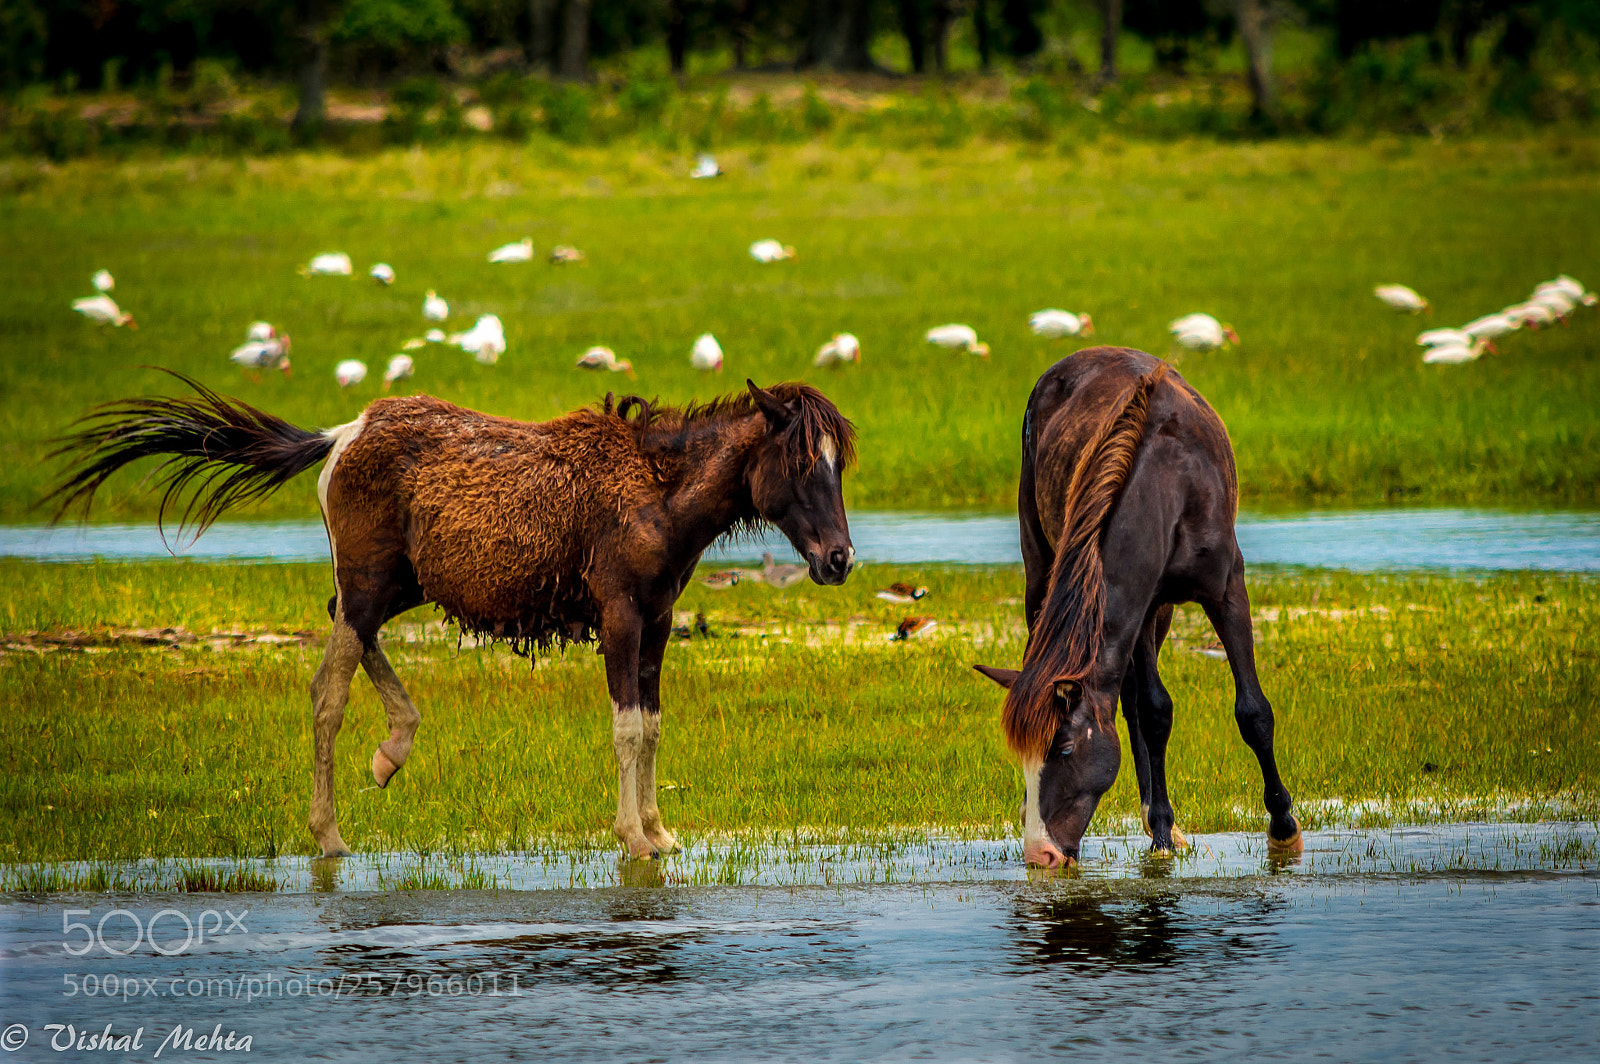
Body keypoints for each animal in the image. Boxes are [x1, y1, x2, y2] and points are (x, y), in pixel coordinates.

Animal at [49, 373, 857, 859]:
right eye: (800, 463)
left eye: (838, 463)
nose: (839, 558)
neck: (658, 494)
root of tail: (339, 437)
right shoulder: (621, 617)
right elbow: (628, 730)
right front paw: (633, 836)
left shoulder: (657, 622)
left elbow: (652, 727)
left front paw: (661, 833)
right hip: (370, 583)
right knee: (327, 692)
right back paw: (330, 834)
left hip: (393, 585)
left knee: (350, 640)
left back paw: (392, 749)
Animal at [974, 347, 1301, 868]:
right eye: (1023, 758)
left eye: (1064, 748)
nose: (1040, 854)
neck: (1174, 480)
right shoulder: (1141, 605)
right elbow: (1154, 711)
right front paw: (1162, 832)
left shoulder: (1226, 590)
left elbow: (1252, 712)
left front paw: (1284, 828)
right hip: (1043, 574)